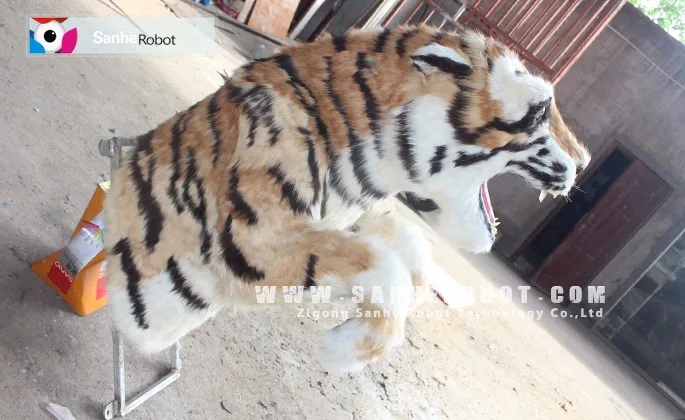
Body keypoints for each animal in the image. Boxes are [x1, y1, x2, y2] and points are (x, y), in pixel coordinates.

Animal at [103, 25, 590, 374]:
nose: (584, 162)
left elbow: (408, 246)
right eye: (541, 110)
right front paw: (343, 350)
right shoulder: (250, 236)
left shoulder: (343, 213)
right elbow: (383, 265)